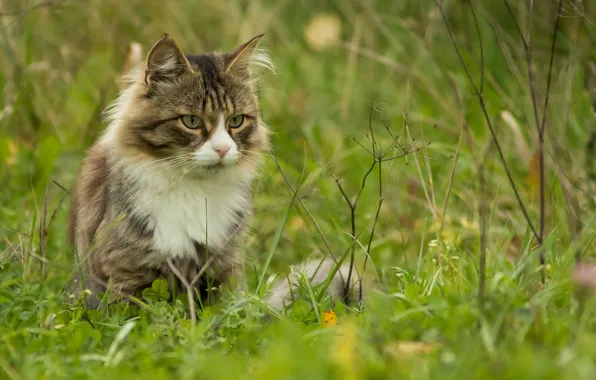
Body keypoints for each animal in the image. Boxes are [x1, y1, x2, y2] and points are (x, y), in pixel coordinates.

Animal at [66, 33, 364, 312]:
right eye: (191, 121)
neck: (195, 189)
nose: (222, 149)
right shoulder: (126, 270)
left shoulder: (224, 265)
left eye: (236, 121)